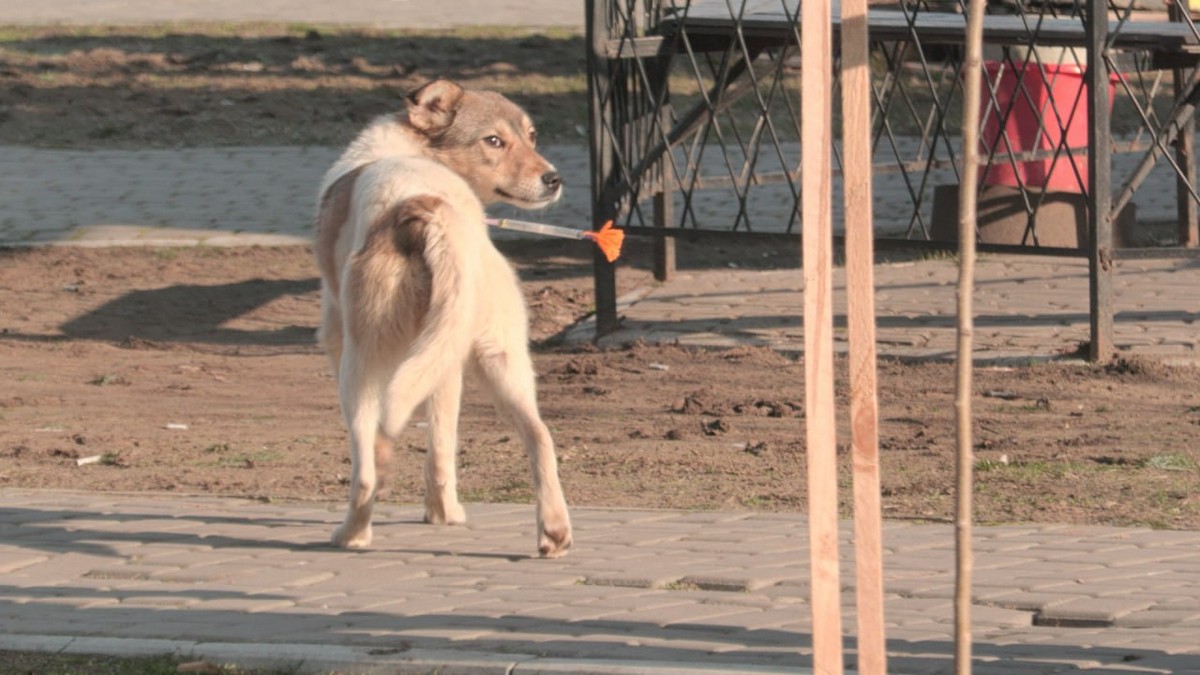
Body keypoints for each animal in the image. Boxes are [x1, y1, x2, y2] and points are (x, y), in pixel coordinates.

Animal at [309, 78, 571, 554]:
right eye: (494, 140)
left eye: (530, 135)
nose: (554, 179)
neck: (418, 149)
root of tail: (426, 206)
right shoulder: (444, 362)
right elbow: (441, 445)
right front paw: (443, 514)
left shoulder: (336, 335)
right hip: (498, 357)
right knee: (540, 437)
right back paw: (554, 532)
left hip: (362, 365)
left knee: (366, 470)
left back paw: (351, 534)